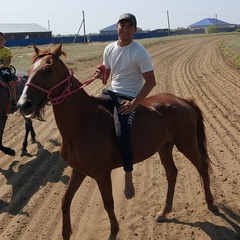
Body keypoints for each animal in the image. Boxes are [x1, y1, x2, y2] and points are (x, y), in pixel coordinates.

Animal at [17, 42, 218, 239]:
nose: (23, 104)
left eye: (48, 69)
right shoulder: (78, 171)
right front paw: (66, 232)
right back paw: (164, 211)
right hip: (164, 146)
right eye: (29, 70)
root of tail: (182, 100)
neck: (83, 122)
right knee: (172, 173)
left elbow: (108, 203)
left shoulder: (102, 174)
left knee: (201, 167)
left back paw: (210, 203)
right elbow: (65, 201)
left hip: (187, 144)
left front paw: (114, 231)